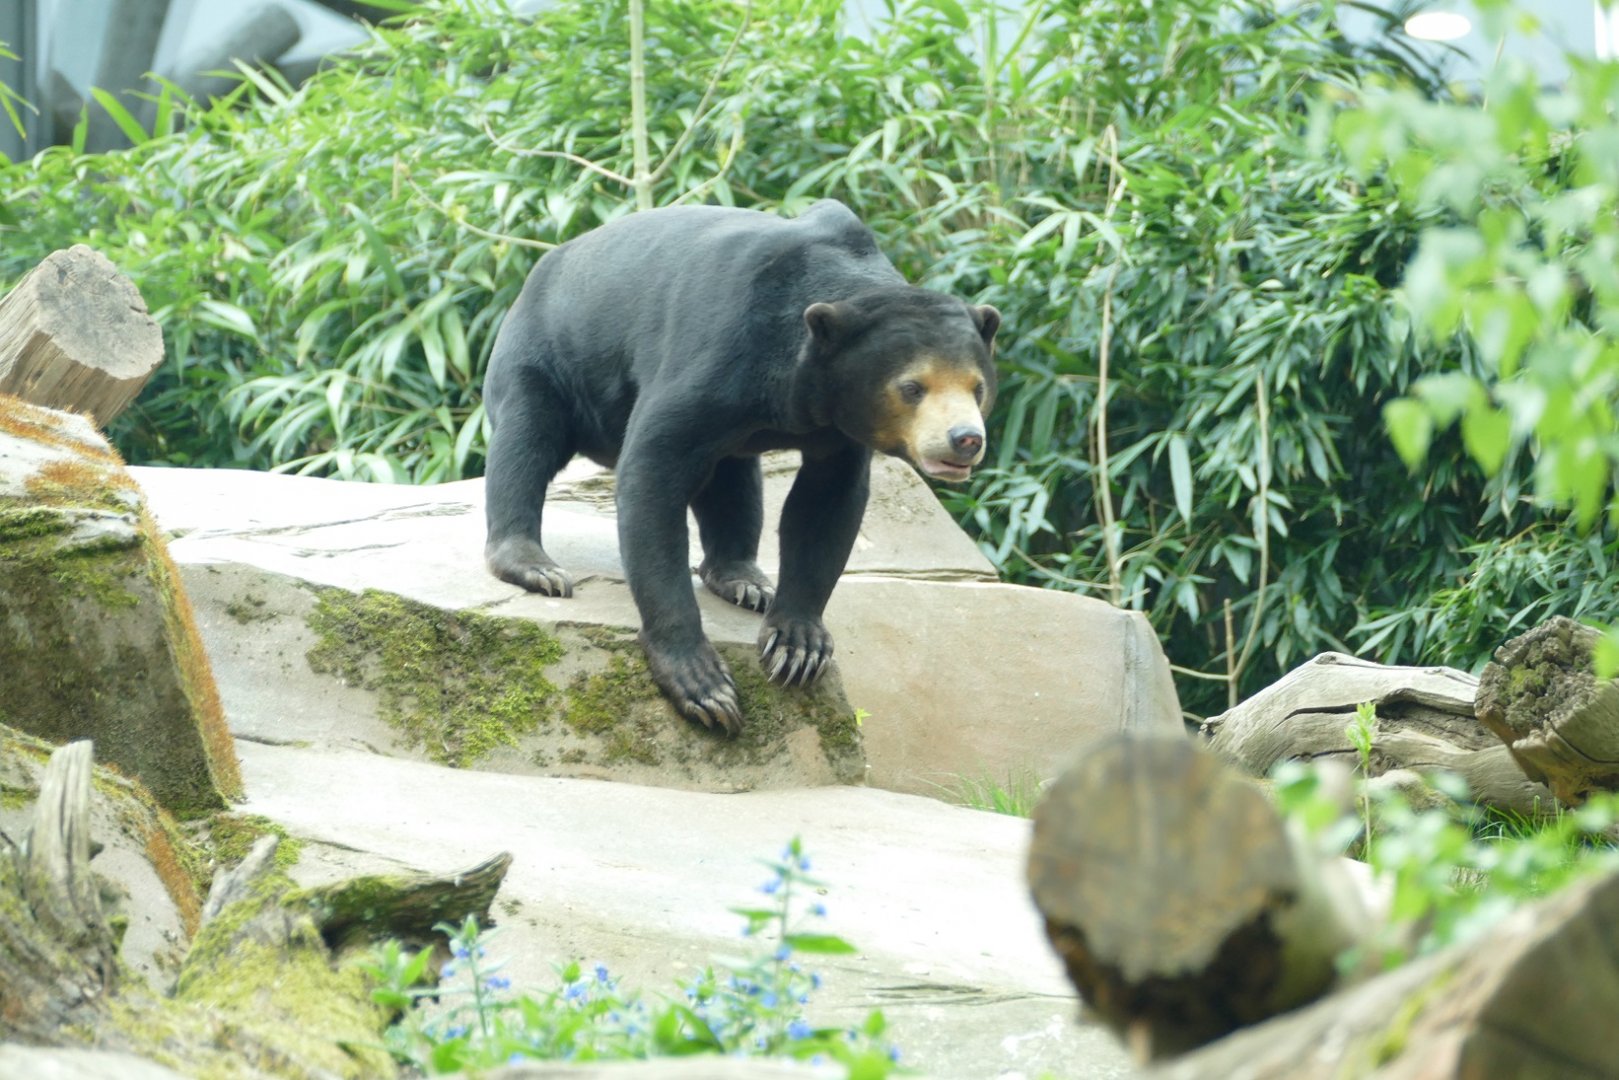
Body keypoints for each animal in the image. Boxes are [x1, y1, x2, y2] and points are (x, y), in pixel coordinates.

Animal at [481, 199, 1000, 734]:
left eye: (978, 387)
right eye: (912, 387)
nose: (966, 440)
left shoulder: (837, 429)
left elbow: (827, 504)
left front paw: (797, 649)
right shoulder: (718, 350)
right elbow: (652, 471)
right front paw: (703, 686)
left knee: (732, 480)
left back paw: (745, 582)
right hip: (542, 355)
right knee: (524, 443)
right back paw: (536, 567)